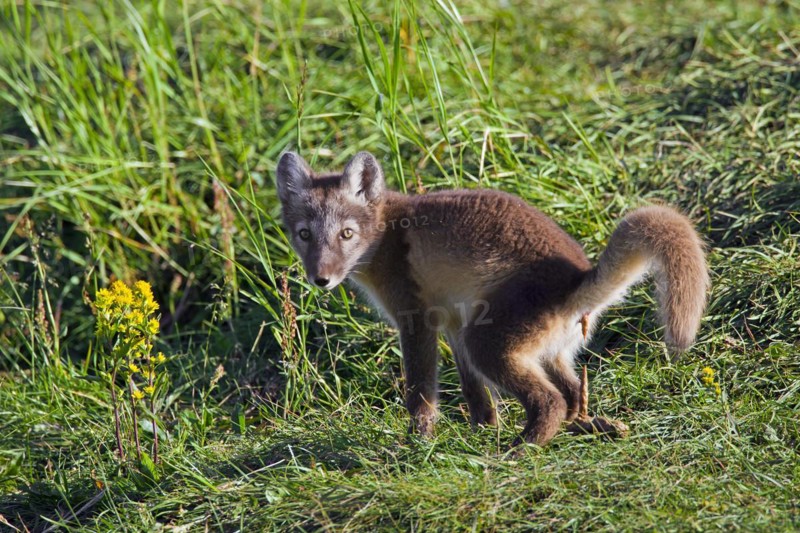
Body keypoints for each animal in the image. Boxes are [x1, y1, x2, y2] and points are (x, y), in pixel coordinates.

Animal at [275, 151, 709, 446]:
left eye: (346, 234)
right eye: (304, 234)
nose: (321, 279)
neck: (385, 235)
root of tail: (577, 279)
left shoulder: (416, 320)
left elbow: (420, 393)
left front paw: (418, 443)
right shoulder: (452, 322)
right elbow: (475, 394)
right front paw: (482, 430)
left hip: (488, 343)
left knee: (550, 402)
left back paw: (519, 450)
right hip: (532, 350)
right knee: (572, 396)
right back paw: (593, 426)